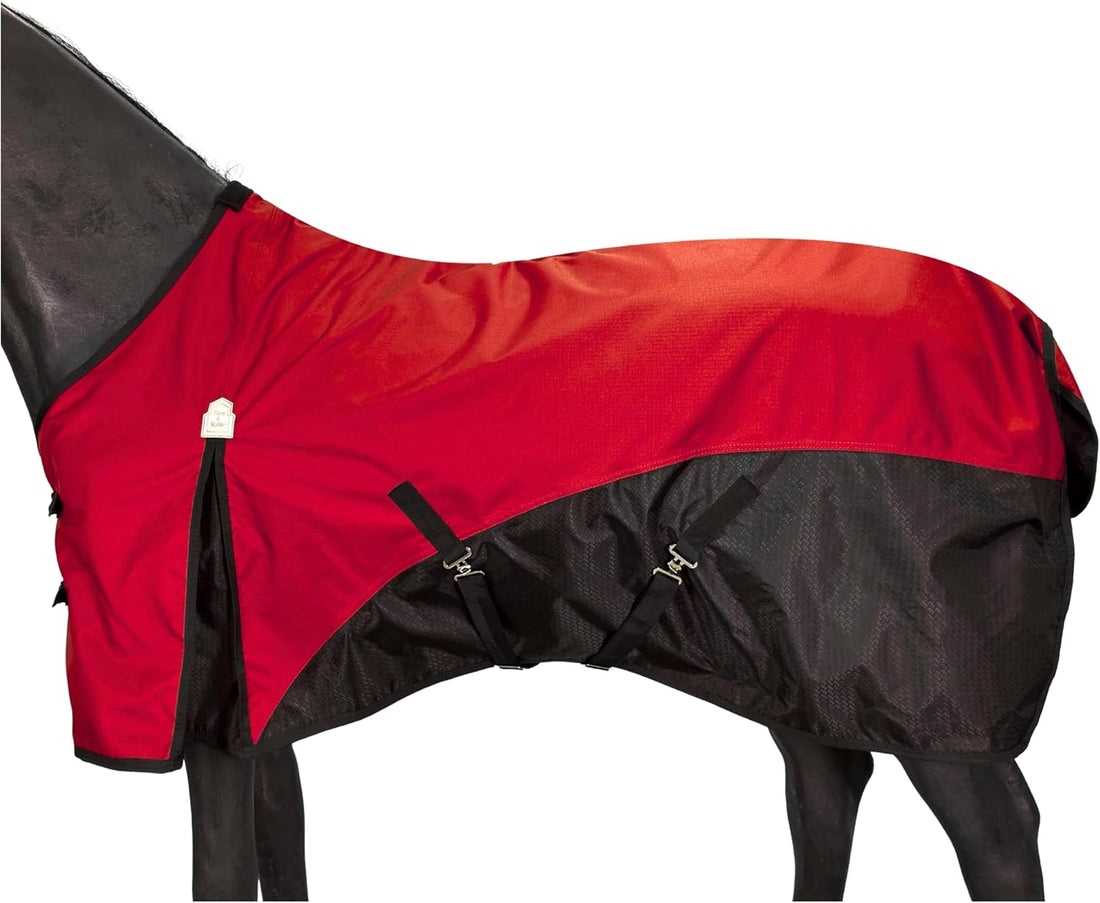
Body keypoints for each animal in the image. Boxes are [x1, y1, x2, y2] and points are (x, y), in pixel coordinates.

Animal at [2, 6, 1094, 901]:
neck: (156, 313)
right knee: (828, 792)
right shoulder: (259, 689)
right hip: (792, 653)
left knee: (998, 838)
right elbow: (284, 855)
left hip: (925, 684)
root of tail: (1032, 337)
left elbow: (223, 872)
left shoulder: (201, 697)